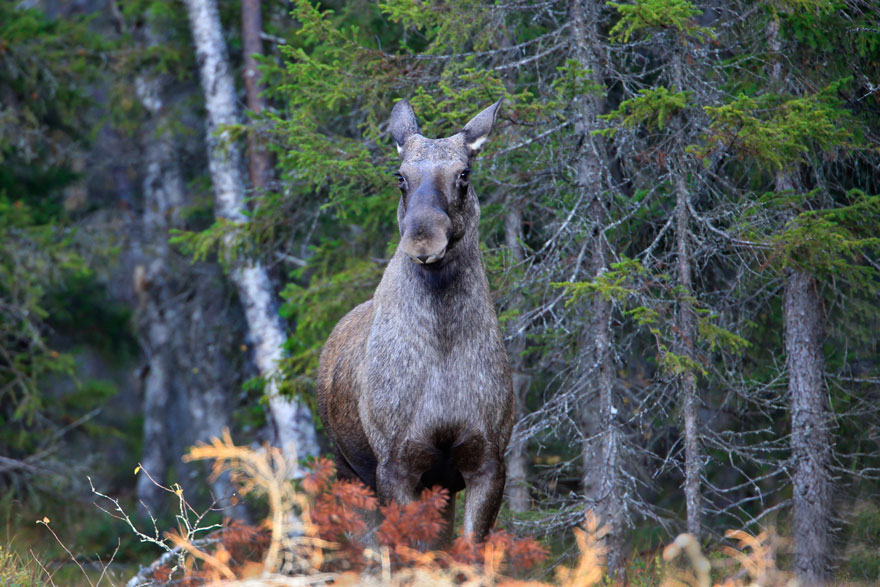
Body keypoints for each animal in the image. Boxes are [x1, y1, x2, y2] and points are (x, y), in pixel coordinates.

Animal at [318, 97, 516, 544]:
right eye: (401, 177)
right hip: (347, 471)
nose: (423, 242)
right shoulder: (396, 464)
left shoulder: (486, 460)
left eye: (464, 174)